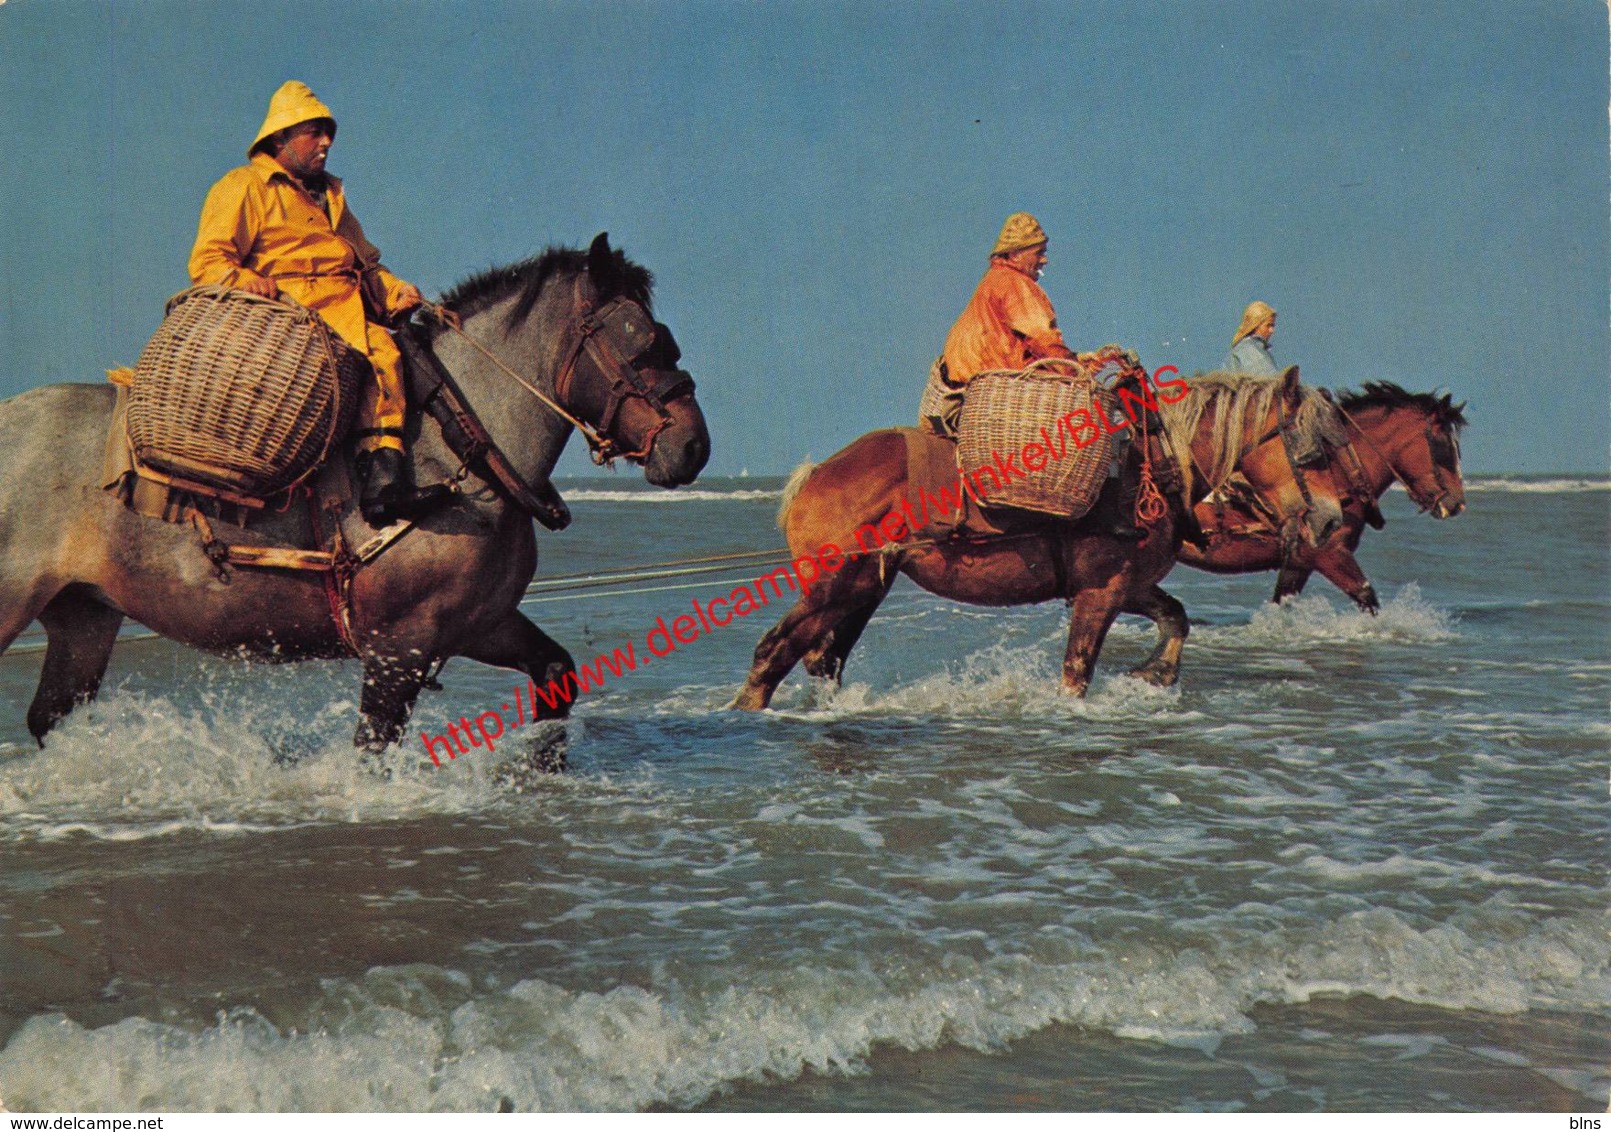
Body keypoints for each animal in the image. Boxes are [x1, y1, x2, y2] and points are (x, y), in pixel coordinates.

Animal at [0, 231, 712, 753]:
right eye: (644, 343)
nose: (693, 447)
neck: (452, 452)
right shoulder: (400, 648)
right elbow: (372, 750)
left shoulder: (480, 622)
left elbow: (556, 678)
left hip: (84, 615)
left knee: (48, 717)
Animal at [737, 367, 1353, 705]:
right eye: (1311, 447)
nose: (1329, 519)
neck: (1150, 467)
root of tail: (815, 475)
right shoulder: (1100, 593)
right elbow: (1076, 672)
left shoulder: (1125, 586)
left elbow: (1176, 618)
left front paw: (1154, 672)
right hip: (834, 583)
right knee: (775, 650)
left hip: (865, 586)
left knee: (822, 658)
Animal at [1179, 380, 1469, 611]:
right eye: (1444, 445)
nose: (1457, 504)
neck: (1340, 469)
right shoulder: (1329, 554)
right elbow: (1367, 596)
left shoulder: (1298, 564)